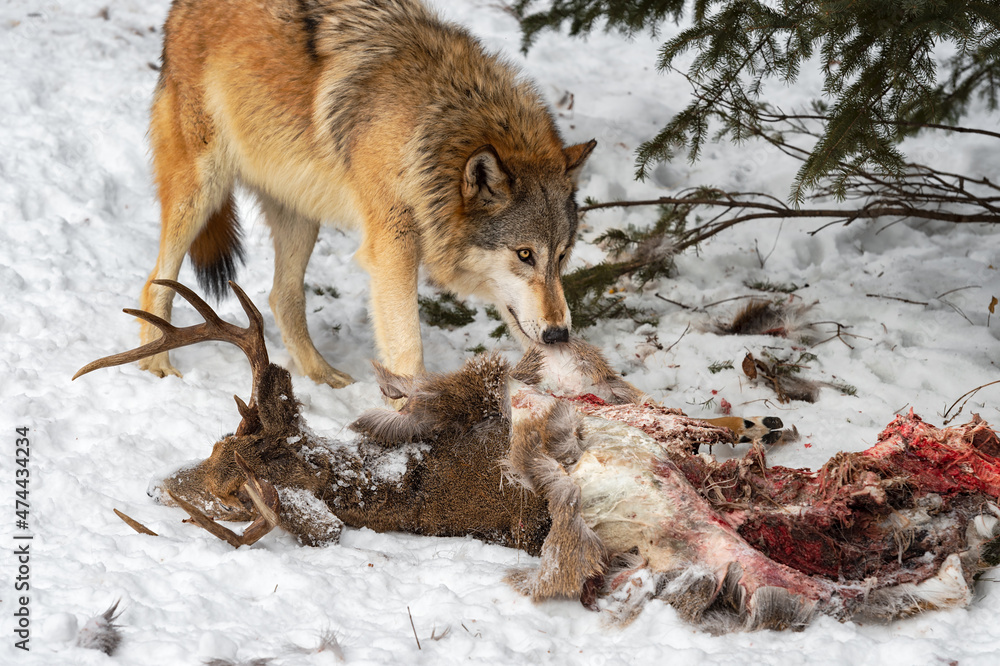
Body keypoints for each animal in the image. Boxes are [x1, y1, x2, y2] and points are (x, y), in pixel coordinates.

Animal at [140, 0, 596, 387]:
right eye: (525, 254)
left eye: (561, 256)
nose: (559, 333)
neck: (433, 130)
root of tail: (179, 8)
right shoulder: (392, 245)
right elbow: (407, 348)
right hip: (200, 192)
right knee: (155, 280)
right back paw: (156, 366)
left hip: (300, 213)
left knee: (281, 296)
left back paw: (322, 375)